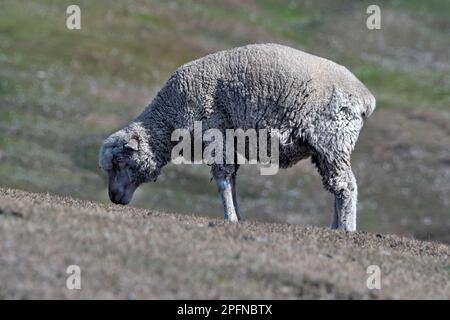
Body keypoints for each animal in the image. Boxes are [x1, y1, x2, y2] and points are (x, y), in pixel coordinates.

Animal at [99, 43, 376, 231]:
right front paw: (238, 217)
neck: (169, 117)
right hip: (325, 150)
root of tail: (366, 98)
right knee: (336, 186)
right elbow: (231, 179)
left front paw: (230, 217)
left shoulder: (214, 133)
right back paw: (335, 227)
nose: (113, 198)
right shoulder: (228, 141)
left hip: (333, 139)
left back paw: (347, 229)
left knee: (346, 186)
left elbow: (223, 178)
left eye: (119, 162)